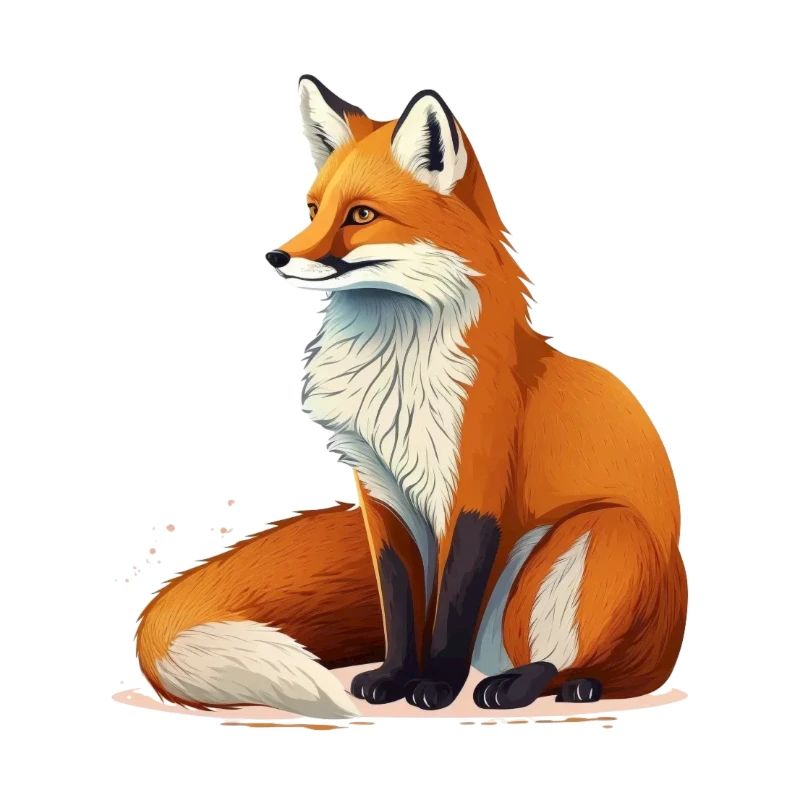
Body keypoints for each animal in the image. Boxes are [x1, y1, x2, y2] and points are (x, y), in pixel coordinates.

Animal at [136, 75, 687, 718]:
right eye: (313, 209)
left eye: (361, 215)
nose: (276, 256)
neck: (394, 378)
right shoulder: (381, 491)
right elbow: (400, 605)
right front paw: (395, 677)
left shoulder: (475, 491)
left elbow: (450, 609)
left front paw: (438, 686)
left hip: (596, 538)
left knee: (572, 662)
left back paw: (533, 685)